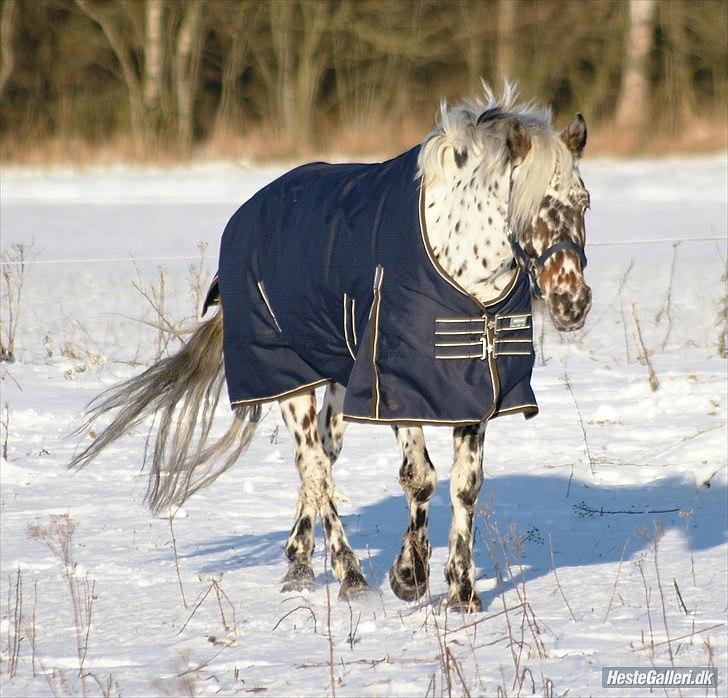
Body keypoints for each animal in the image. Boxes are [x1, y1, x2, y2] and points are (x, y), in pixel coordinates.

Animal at [69, 84, 592, 612]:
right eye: (529, 207)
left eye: (583, 203)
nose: (572, 302)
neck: (462, 268)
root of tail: (246, 215)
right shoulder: (394, 387)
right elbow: (420, 478)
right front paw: (409, 576)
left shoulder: (473, 390)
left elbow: (465, 486)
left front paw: (462, 593)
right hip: (289, 381)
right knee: (314, 466)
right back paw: (350, 576)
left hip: (337, 382)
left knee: (320, 459)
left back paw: (299, 563)